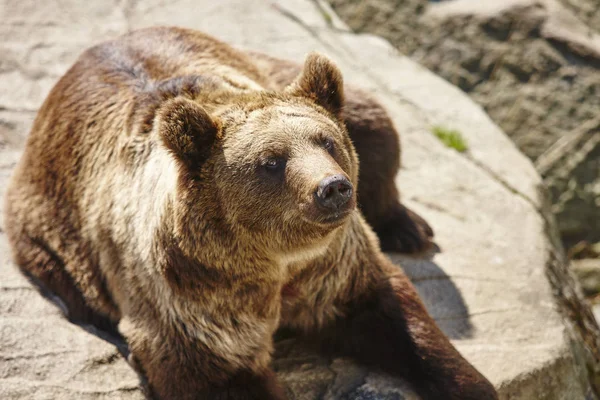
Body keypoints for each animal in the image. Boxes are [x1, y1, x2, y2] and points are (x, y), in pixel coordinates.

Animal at [2, 26, 494, 398]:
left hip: (280, 69)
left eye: (326, 141)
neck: (277, 261)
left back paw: (409, 227)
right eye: (271, 163)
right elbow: (214, 370)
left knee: (373, 120)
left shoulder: (333, 265)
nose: (333, 188)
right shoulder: (193, 293)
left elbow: (397, 315)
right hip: (49, 228)